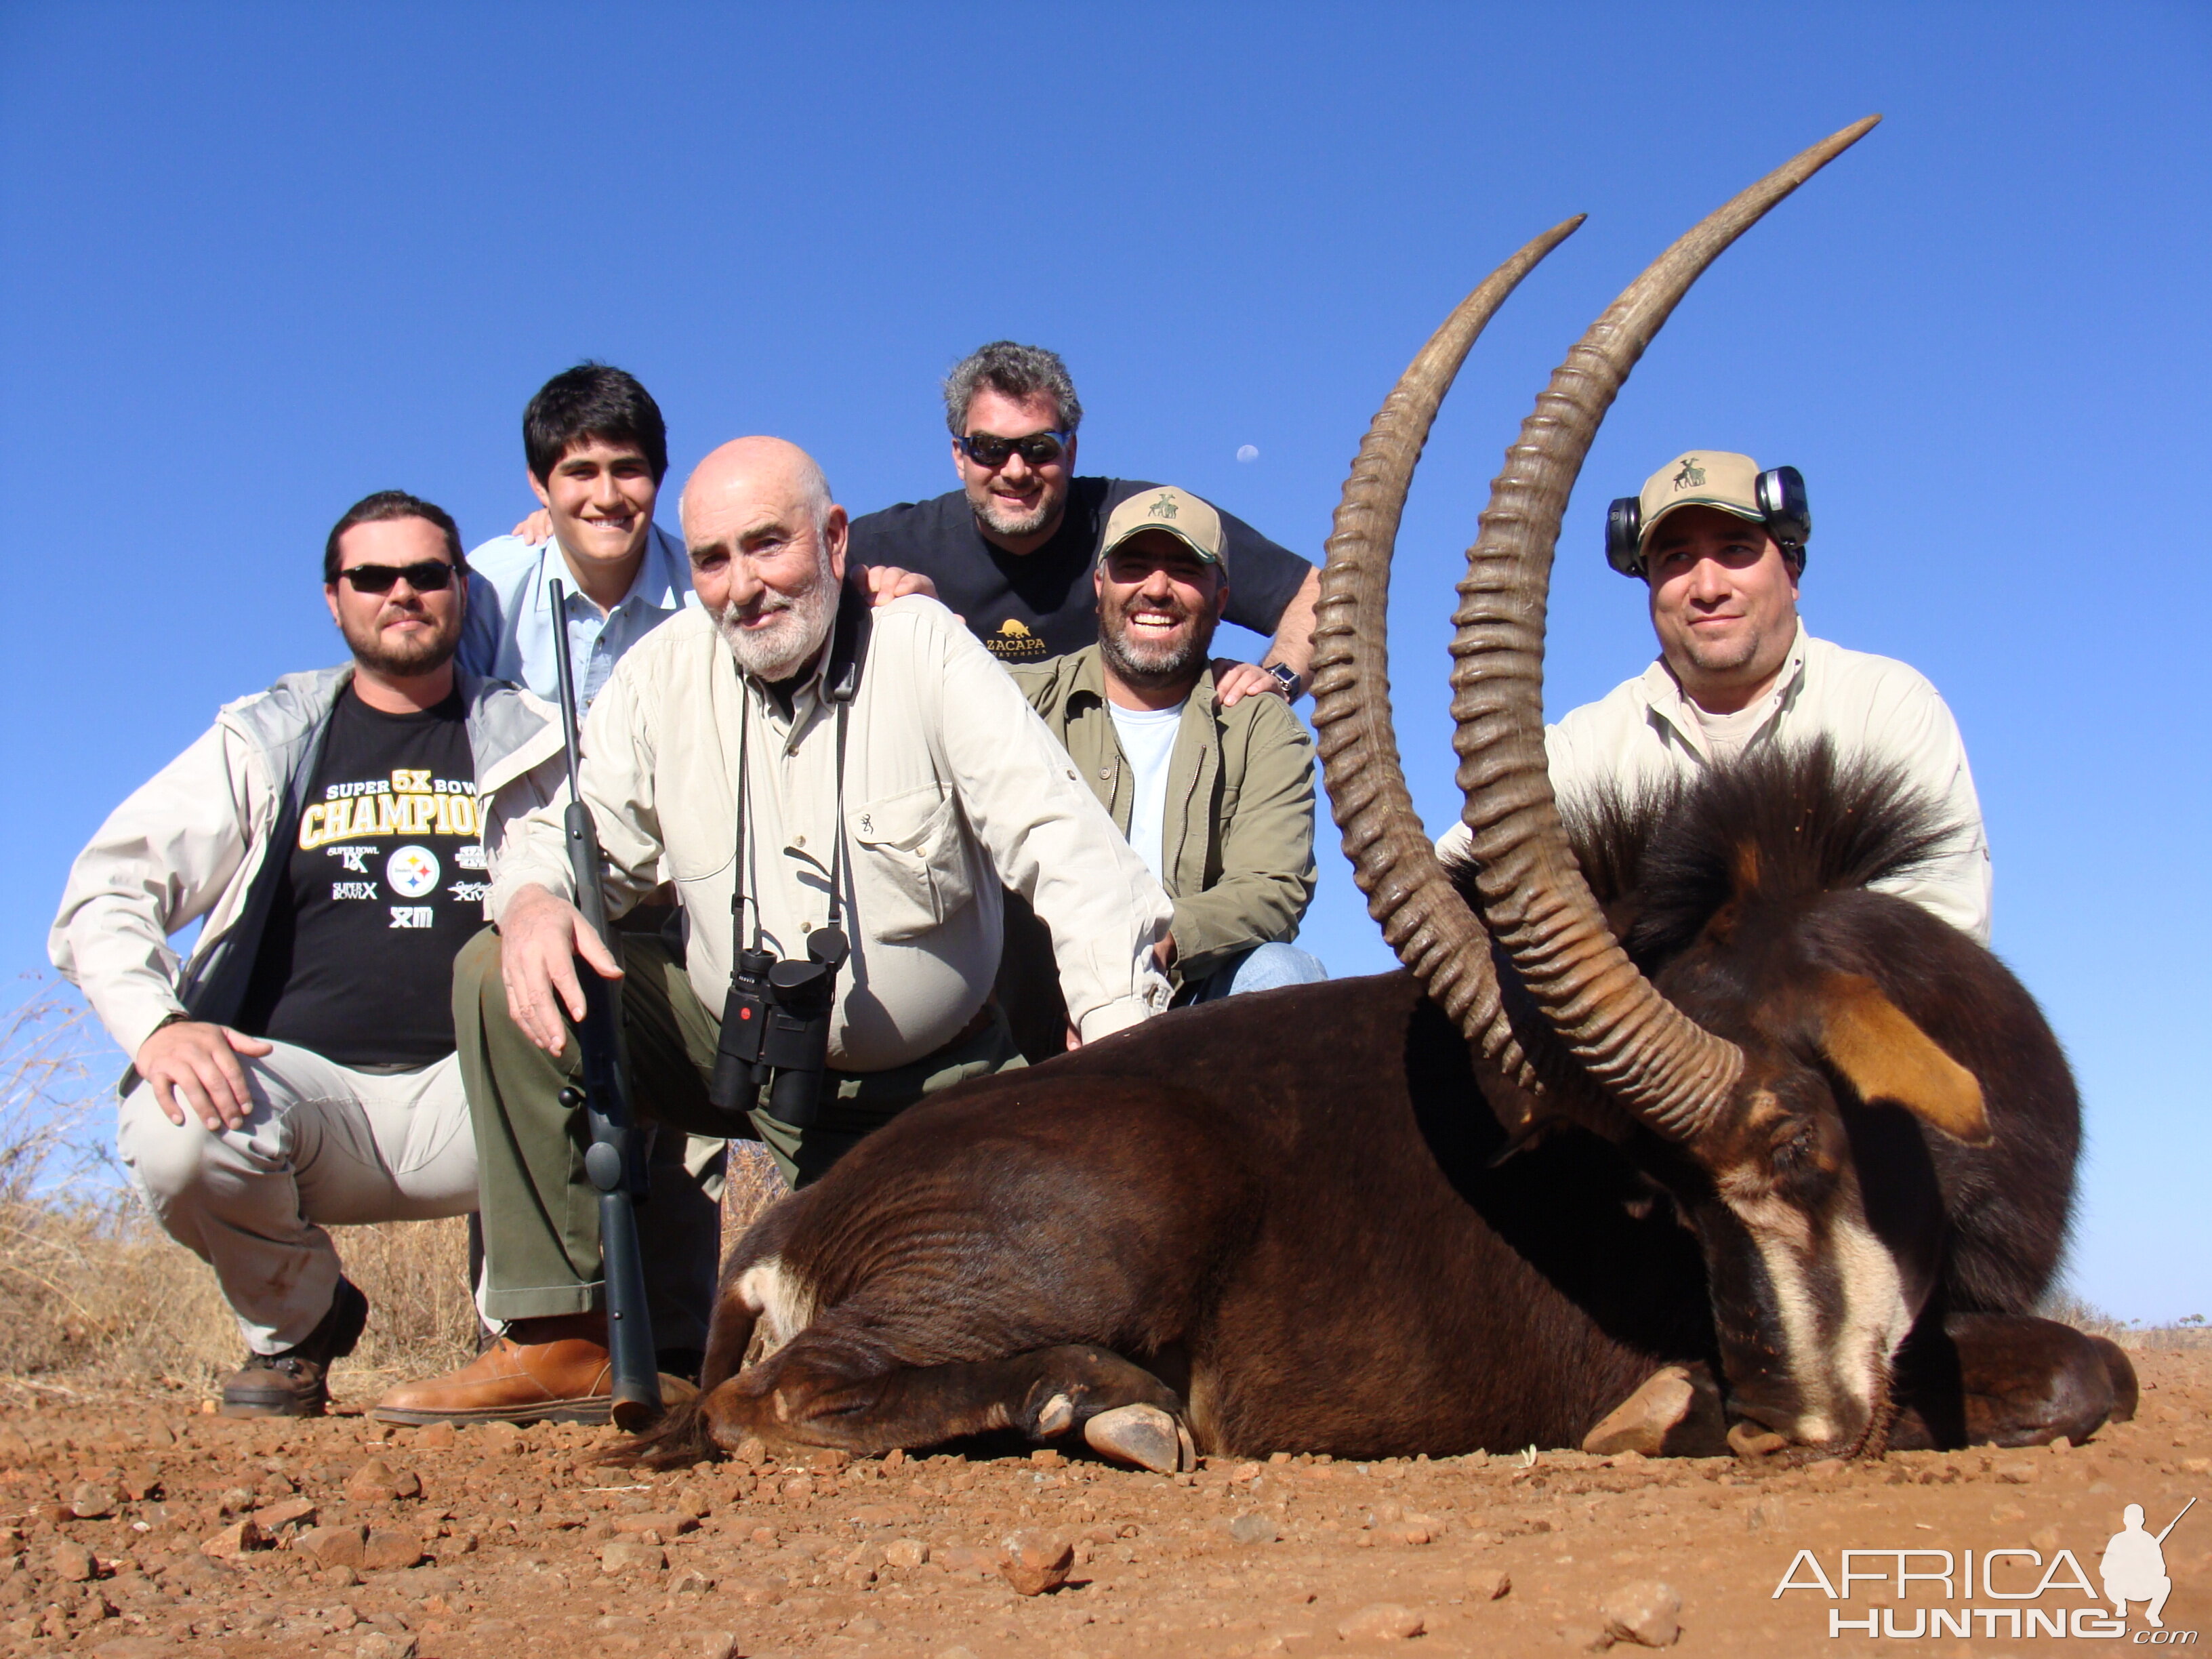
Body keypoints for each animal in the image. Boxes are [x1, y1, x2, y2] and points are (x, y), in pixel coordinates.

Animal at [619, 123, 2123, 1477]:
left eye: (1801, 1147)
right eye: (1677, 1197)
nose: (1783, 1427)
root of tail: (785, 1231)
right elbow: (2082, 1367)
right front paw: (1663, 1410)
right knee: (776, 1397)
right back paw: (1099, 1402)